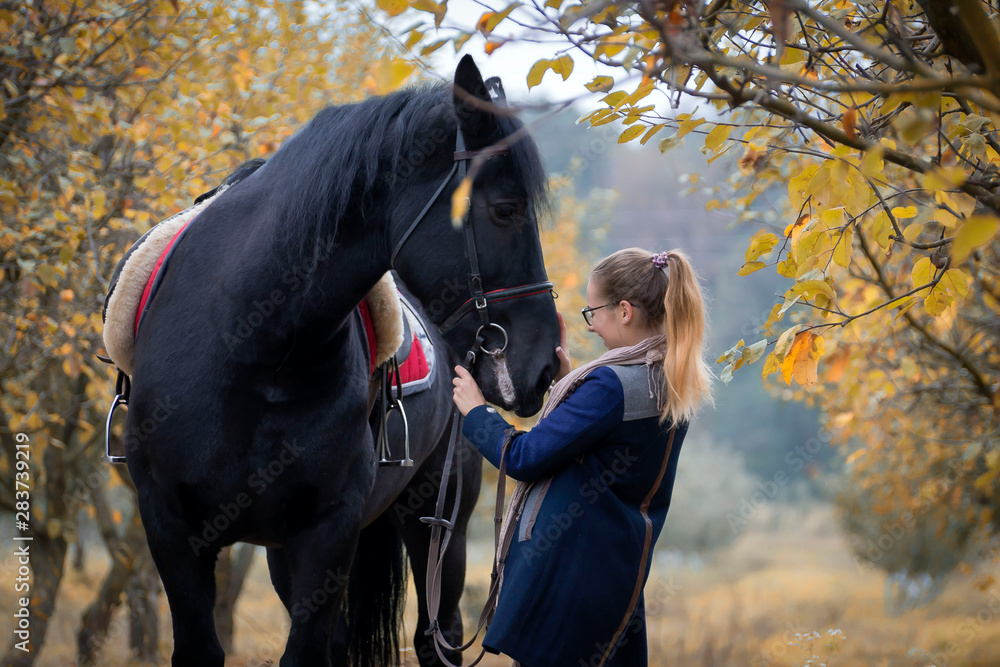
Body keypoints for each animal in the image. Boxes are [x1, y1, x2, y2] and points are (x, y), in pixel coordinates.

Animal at [120, 55, 559, 667]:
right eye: (505, 209)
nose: (544, 366)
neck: (251, 347)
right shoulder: (171, 528)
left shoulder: (328, 530)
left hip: (436, 524)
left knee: (436, 634)